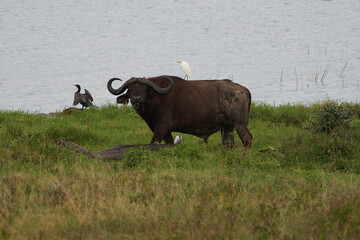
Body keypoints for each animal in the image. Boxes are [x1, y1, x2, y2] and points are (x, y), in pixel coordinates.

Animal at [108, 75, 252, 148]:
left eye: (144, 89)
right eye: (130, 89)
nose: (136, 99)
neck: (157, 100)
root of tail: (244, 89)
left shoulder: (161, 127)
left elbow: (152, 143)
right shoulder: (167, 132)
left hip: (239, 124)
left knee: (247, 138)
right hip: (227, 128)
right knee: (229, 143)